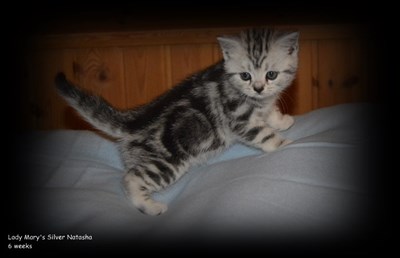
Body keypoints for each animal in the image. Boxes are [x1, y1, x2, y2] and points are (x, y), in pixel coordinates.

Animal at [56, 28, 300, 216]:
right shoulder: (240, 119)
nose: (258, 88)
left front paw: (282, 120)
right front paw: (287, 144)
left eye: (271, 74)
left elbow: (269, 113)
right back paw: (150, 207)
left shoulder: (263, 104)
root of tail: (133, 121)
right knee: (131, 178)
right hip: (166, 163)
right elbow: (264, 134)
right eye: (245, 76)